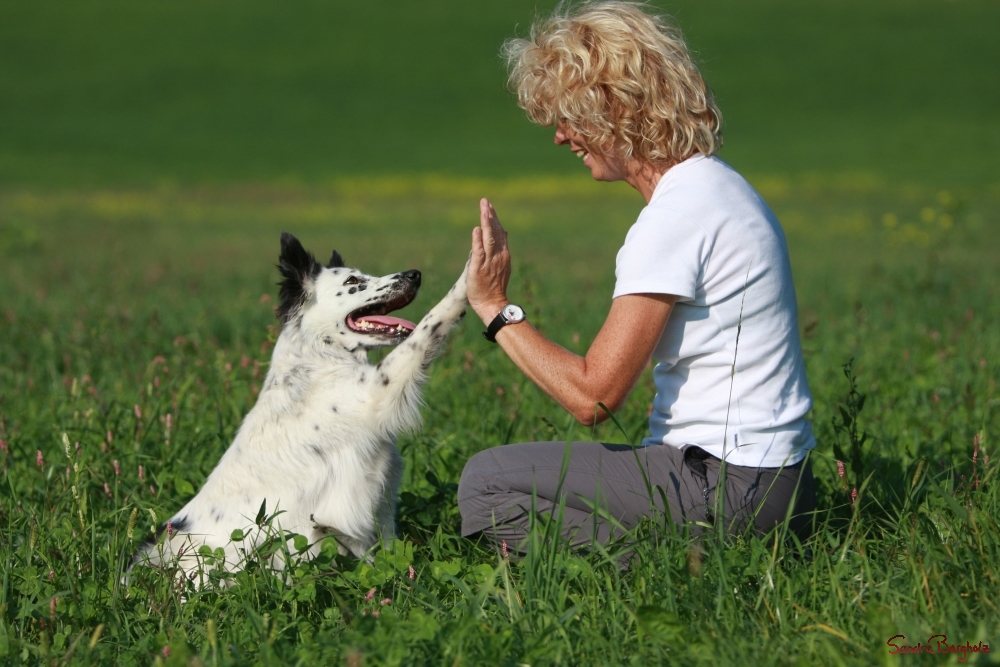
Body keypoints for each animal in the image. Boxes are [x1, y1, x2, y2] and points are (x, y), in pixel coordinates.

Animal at [132, 234, 468, 580]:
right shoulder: (378, 393)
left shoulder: (382, 498)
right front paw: (471, 275)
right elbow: (430, 325)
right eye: (353, 281)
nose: (414, 275)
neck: (318, 360)